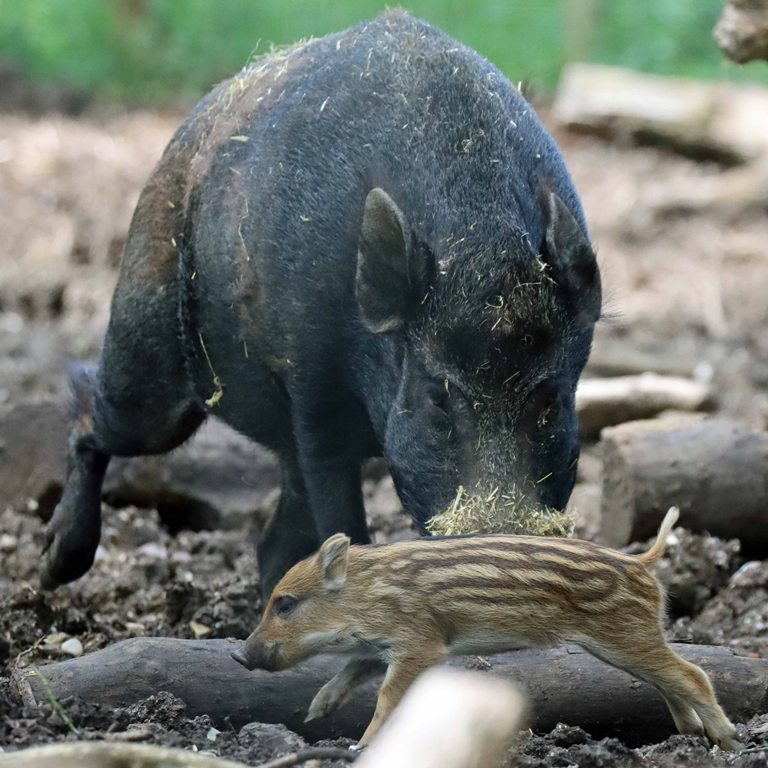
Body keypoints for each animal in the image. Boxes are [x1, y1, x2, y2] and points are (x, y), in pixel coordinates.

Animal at [40, 10, 601, 598]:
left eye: (550, 401)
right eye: (437, 400)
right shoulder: (312, 394)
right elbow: (343, 522)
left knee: (273, 543)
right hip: (146, 353)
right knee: (89, 411)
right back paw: (53, 567)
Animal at [232, 508, 740, 750]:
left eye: (285, 604)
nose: (239, 654)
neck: (370, 591)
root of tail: (642, 562)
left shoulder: (420, 644)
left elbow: (388, 698)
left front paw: (363, 746)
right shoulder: (378, 648)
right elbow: (348, 673)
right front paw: (315, 712)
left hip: (624, 636)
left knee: (692, 674)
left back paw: (727, 741)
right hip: (626, 642)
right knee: (668, 678)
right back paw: (688, 735)